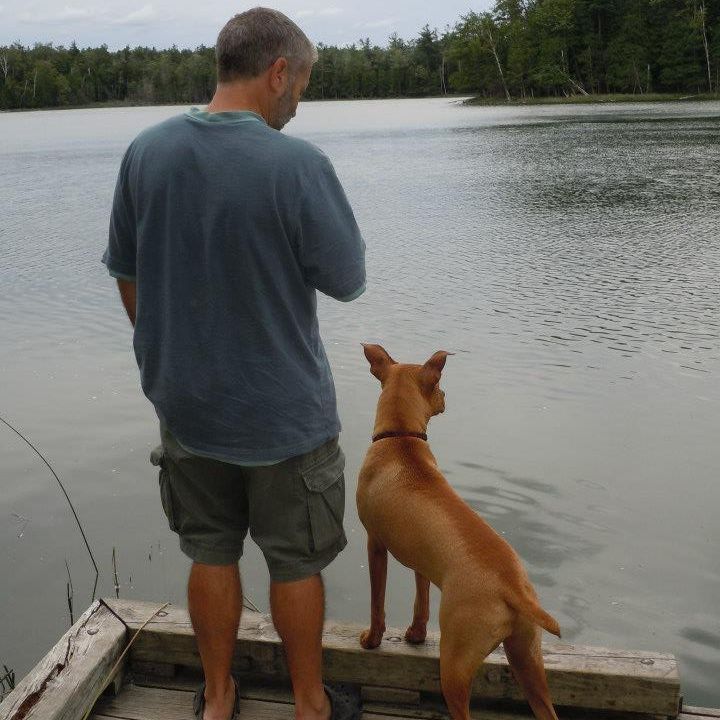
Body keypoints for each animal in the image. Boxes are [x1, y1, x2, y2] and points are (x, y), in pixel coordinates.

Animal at [358, 344, 560, 720]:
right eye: (439, 385)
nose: (446, 396)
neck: (400, 438)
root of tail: (512, 587)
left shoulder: (375, 544)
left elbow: (377, 602)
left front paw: (372, 640)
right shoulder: (420, 562)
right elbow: (420, 601)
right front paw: (415, 634)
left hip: (455, 665)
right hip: (527, 658)